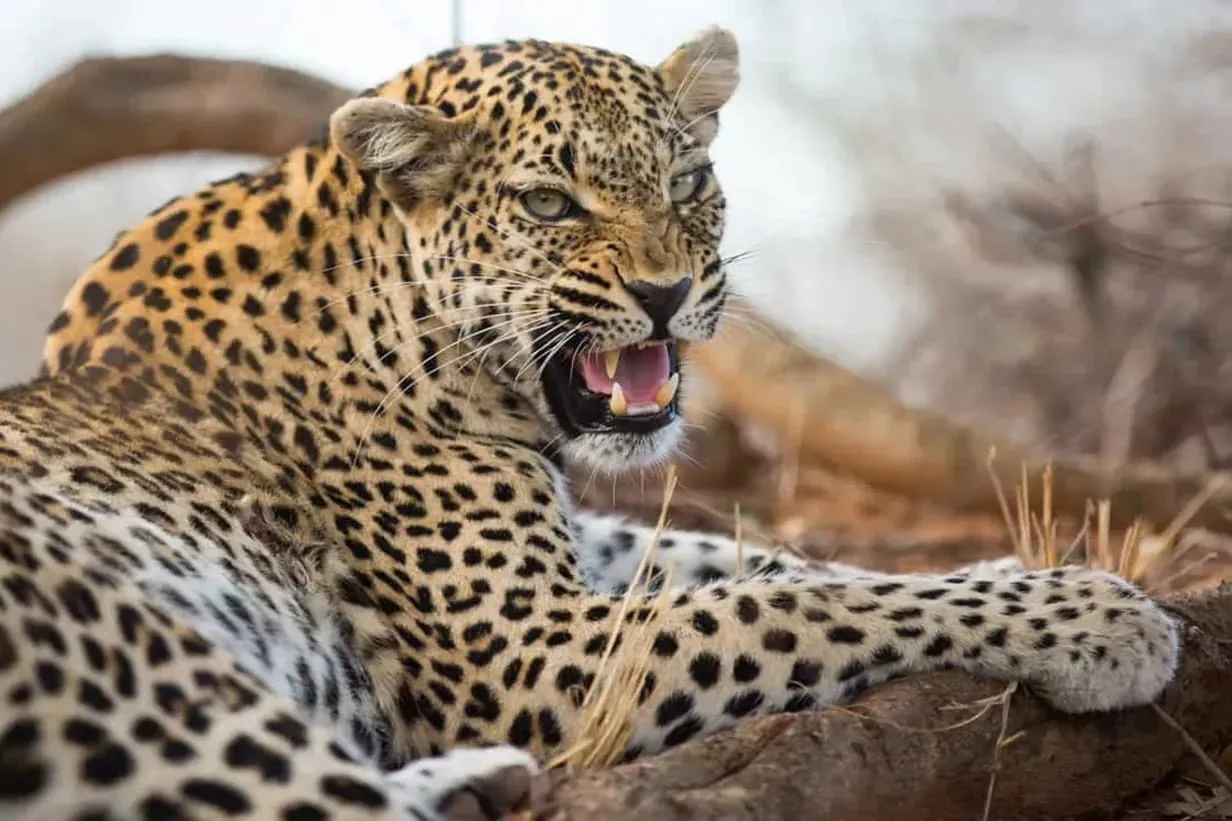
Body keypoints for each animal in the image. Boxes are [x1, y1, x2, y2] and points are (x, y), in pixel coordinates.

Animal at [0, 25, 1180, 821]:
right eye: (546, 205)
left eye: (688, 179)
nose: (667, 293)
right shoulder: (517, 643)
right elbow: (794, 606)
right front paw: (1091, 615)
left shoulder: (580, 553)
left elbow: (765, 561)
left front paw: (1048, 572)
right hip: (144, 657)